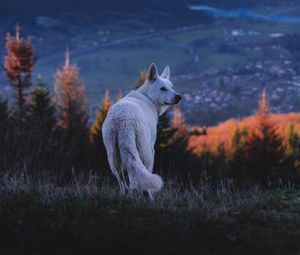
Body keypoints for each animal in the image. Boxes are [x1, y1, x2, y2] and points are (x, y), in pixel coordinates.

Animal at [103, 62, 182, 198]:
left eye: (172, 87)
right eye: (163, 88)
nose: (179, 97)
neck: (147, 97)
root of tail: (122, 119)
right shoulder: (151, 149)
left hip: (113, 156)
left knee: (124, 181)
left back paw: (125, 196)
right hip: (145, 152)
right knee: (141, 177)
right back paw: (148, 196)